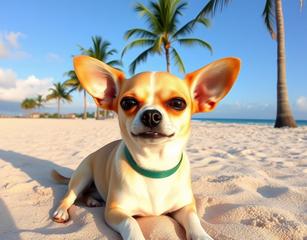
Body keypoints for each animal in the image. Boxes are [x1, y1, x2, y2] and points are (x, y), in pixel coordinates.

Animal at [52, 55, 241, 239]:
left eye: (178, 103)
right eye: (128, 102)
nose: (151, 115)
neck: (155, 166)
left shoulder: (185, 207)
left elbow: (195, 223)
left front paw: (204, 236)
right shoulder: (114, 211)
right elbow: (131, 223)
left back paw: (92, 200)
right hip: (82, 175)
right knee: (69, 196)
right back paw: (62, 211)